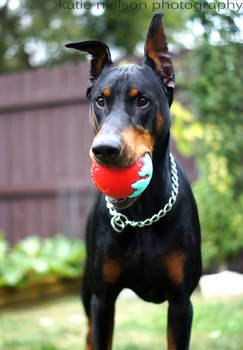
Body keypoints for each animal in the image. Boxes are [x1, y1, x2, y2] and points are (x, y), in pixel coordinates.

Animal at [65, 11, 202, 350]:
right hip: (87, 291)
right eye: (100, 101)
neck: (141, 214)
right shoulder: (103, 299)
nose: (104, 150)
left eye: (142, 101)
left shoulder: (181, 302)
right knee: (88, 334)